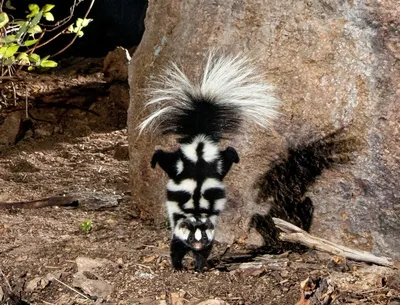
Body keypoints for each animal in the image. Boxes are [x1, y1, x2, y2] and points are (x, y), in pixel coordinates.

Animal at [138, 51, 278, 270]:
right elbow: (175, 248)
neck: (196, 213)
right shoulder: (178, 230)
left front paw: (198, 266)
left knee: (227, 154)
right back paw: (154, 160)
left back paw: (236, 156)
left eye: (202, 239)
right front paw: (178, 266)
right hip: (181, 163)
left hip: (214, 164)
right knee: (165, 157)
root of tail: (200, 143)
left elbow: (204, 252)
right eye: (191, 238)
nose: (196, 245)